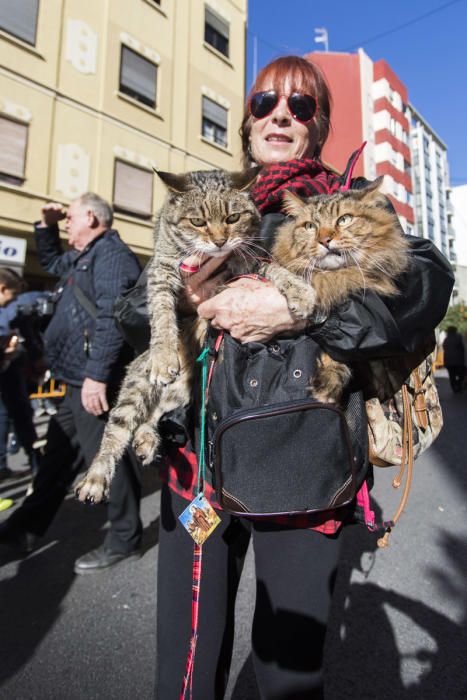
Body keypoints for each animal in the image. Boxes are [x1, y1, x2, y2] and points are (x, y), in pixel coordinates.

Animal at [75, 167, 262, 500]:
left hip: (181, 390)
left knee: (152, 414)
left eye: (233, 218)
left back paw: (147, 439)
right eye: (197, 221)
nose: (219, 241)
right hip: (137, 383)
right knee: (118, 427)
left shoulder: (244, 259)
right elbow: (162, 315)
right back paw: (96, 476)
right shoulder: (161, 271)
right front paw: (164, 355)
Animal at [262, 178, 412, 402]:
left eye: (344, 220)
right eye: (310, 226)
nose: (324, 240)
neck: (332, 276)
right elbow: (281, 273)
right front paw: (303, 297)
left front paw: (328, 382)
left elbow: (342, 349)